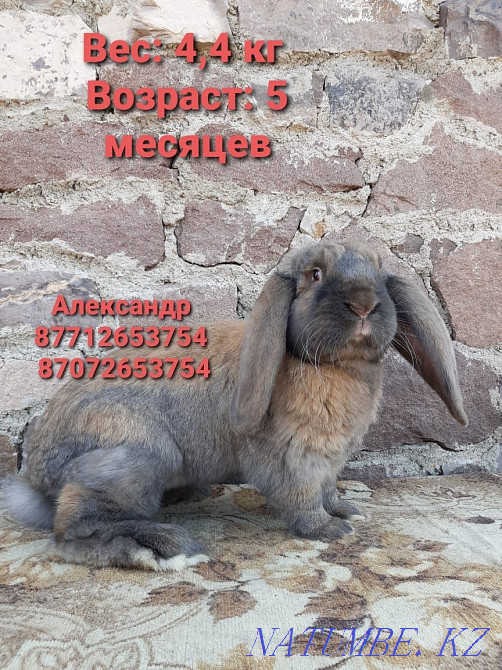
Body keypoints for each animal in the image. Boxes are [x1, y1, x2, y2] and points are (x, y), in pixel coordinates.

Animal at [1, 239, 467, 571]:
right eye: (315, 274)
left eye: (380, 273)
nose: (364, 304)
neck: (335, 367)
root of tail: (37, 473)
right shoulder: (294, 457)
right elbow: (302, 499)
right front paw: (331, 529)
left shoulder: (328, 461)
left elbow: (327, 489)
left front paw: (345, 510)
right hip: (134, 457)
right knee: (71, 533)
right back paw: (163, 548)